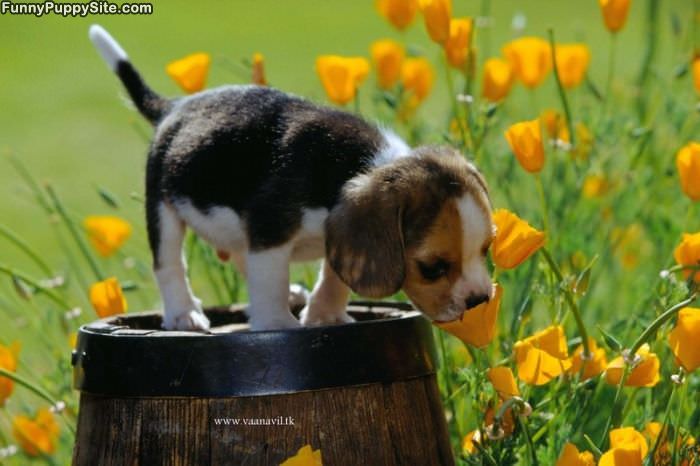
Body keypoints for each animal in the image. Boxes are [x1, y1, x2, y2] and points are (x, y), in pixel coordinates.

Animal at [89, 25, 492, 332]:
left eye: (487, 249)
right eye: (432, 268)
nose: (480, 301)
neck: (363, 165)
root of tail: (174, 108)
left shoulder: (336, 235)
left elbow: (334, 276)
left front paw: (326, 314)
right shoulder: (271, 230)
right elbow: (270, 281)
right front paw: (277, 323)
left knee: (240, 254)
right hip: (163, 206)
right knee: (169, 263)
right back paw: (183, 314)